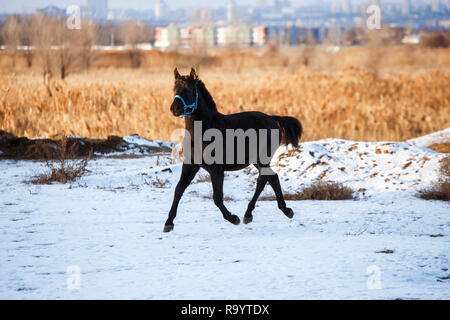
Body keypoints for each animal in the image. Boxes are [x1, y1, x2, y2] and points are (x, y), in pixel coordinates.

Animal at [163, 68, 302, 232]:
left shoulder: (216, 169)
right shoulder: (190, 165)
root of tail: (272, 118)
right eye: (174, 89)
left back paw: (253, 214)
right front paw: (168, 223)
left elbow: (217, 197)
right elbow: (178, 190)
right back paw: (278, 211)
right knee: (271, 178)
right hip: (256, 160)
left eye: (189, 89)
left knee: (264, 179)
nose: (175, 108)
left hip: (262, 159)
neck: (203, 130)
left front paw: (233, 218)